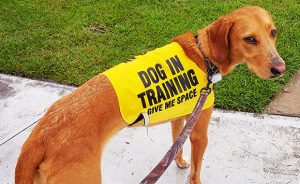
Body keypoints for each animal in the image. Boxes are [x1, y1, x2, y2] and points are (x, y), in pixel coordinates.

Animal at [14, 6, 286, 184]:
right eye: (249, 39)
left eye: (273, 32)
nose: (280, 69)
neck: (203, 55)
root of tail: (38, 138)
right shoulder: (200, 132)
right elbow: (196, 172)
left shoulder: (181, 118)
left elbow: (177, 143)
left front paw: (179, 161)